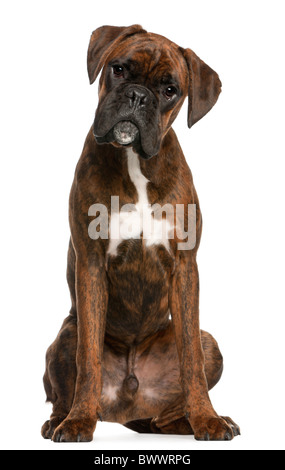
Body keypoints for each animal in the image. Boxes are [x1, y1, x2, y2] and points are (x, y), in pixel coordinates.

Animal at [41, 25, 239, 442]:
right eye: (119, 69)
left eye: (170, 90)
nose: (137, 96)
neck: (134, 161)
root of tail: (127, 408)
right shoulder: (91, 265)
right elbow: (88, 358)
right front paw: (78, 422)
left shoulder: (185, 268)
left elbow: (191, 360)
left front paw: (208, 419)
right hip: (66, 332)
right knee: (66, 383)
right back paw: (61, 420)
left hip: (209, 343)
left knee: (167, 409)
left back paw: (198, 420)